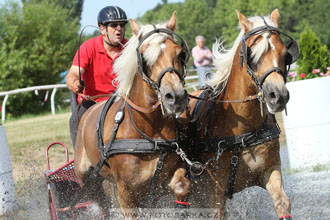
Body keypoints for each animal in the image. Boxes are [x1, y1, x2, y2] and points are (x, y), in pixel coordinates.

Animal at [73, 11, 189, 218]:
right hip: (87, 178)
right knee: (100, 202)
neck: (150, 131)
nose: (175, 97)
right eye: (144, 58)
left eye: (180, 53)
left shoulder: (166, 178)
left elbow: (182, 187)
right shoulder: (126, 193)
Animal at [182, 9, 300, 220]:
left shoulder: (271, 170)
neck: (242, 131)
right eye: (252, 54)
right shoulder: (215, 189)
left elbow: (282, 203)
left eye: (285, 54)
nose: (278, 96)